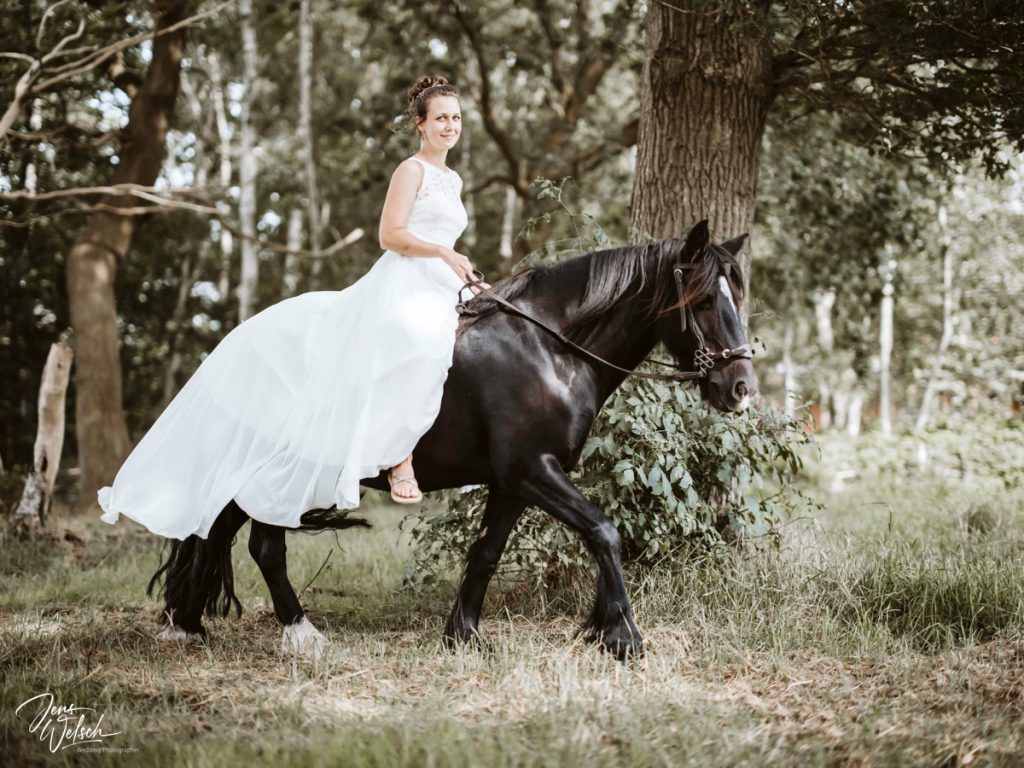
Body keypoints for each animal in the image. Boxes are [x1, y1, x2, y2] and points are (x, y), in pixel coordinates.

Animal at [148, 220, 757, 661]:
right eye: (705, 300)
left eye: (738, 298)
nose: (741, 388)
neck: (551, 350)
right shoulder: (533, 470)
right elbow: (604, 532)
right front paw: (621, 635)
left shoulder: (515, 482)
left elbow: (486, 551)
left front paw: (462, 634)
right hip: (280, 467)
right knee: (263, 546)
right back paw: (300, 634)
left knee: (218, 532)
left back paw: (187, 623)